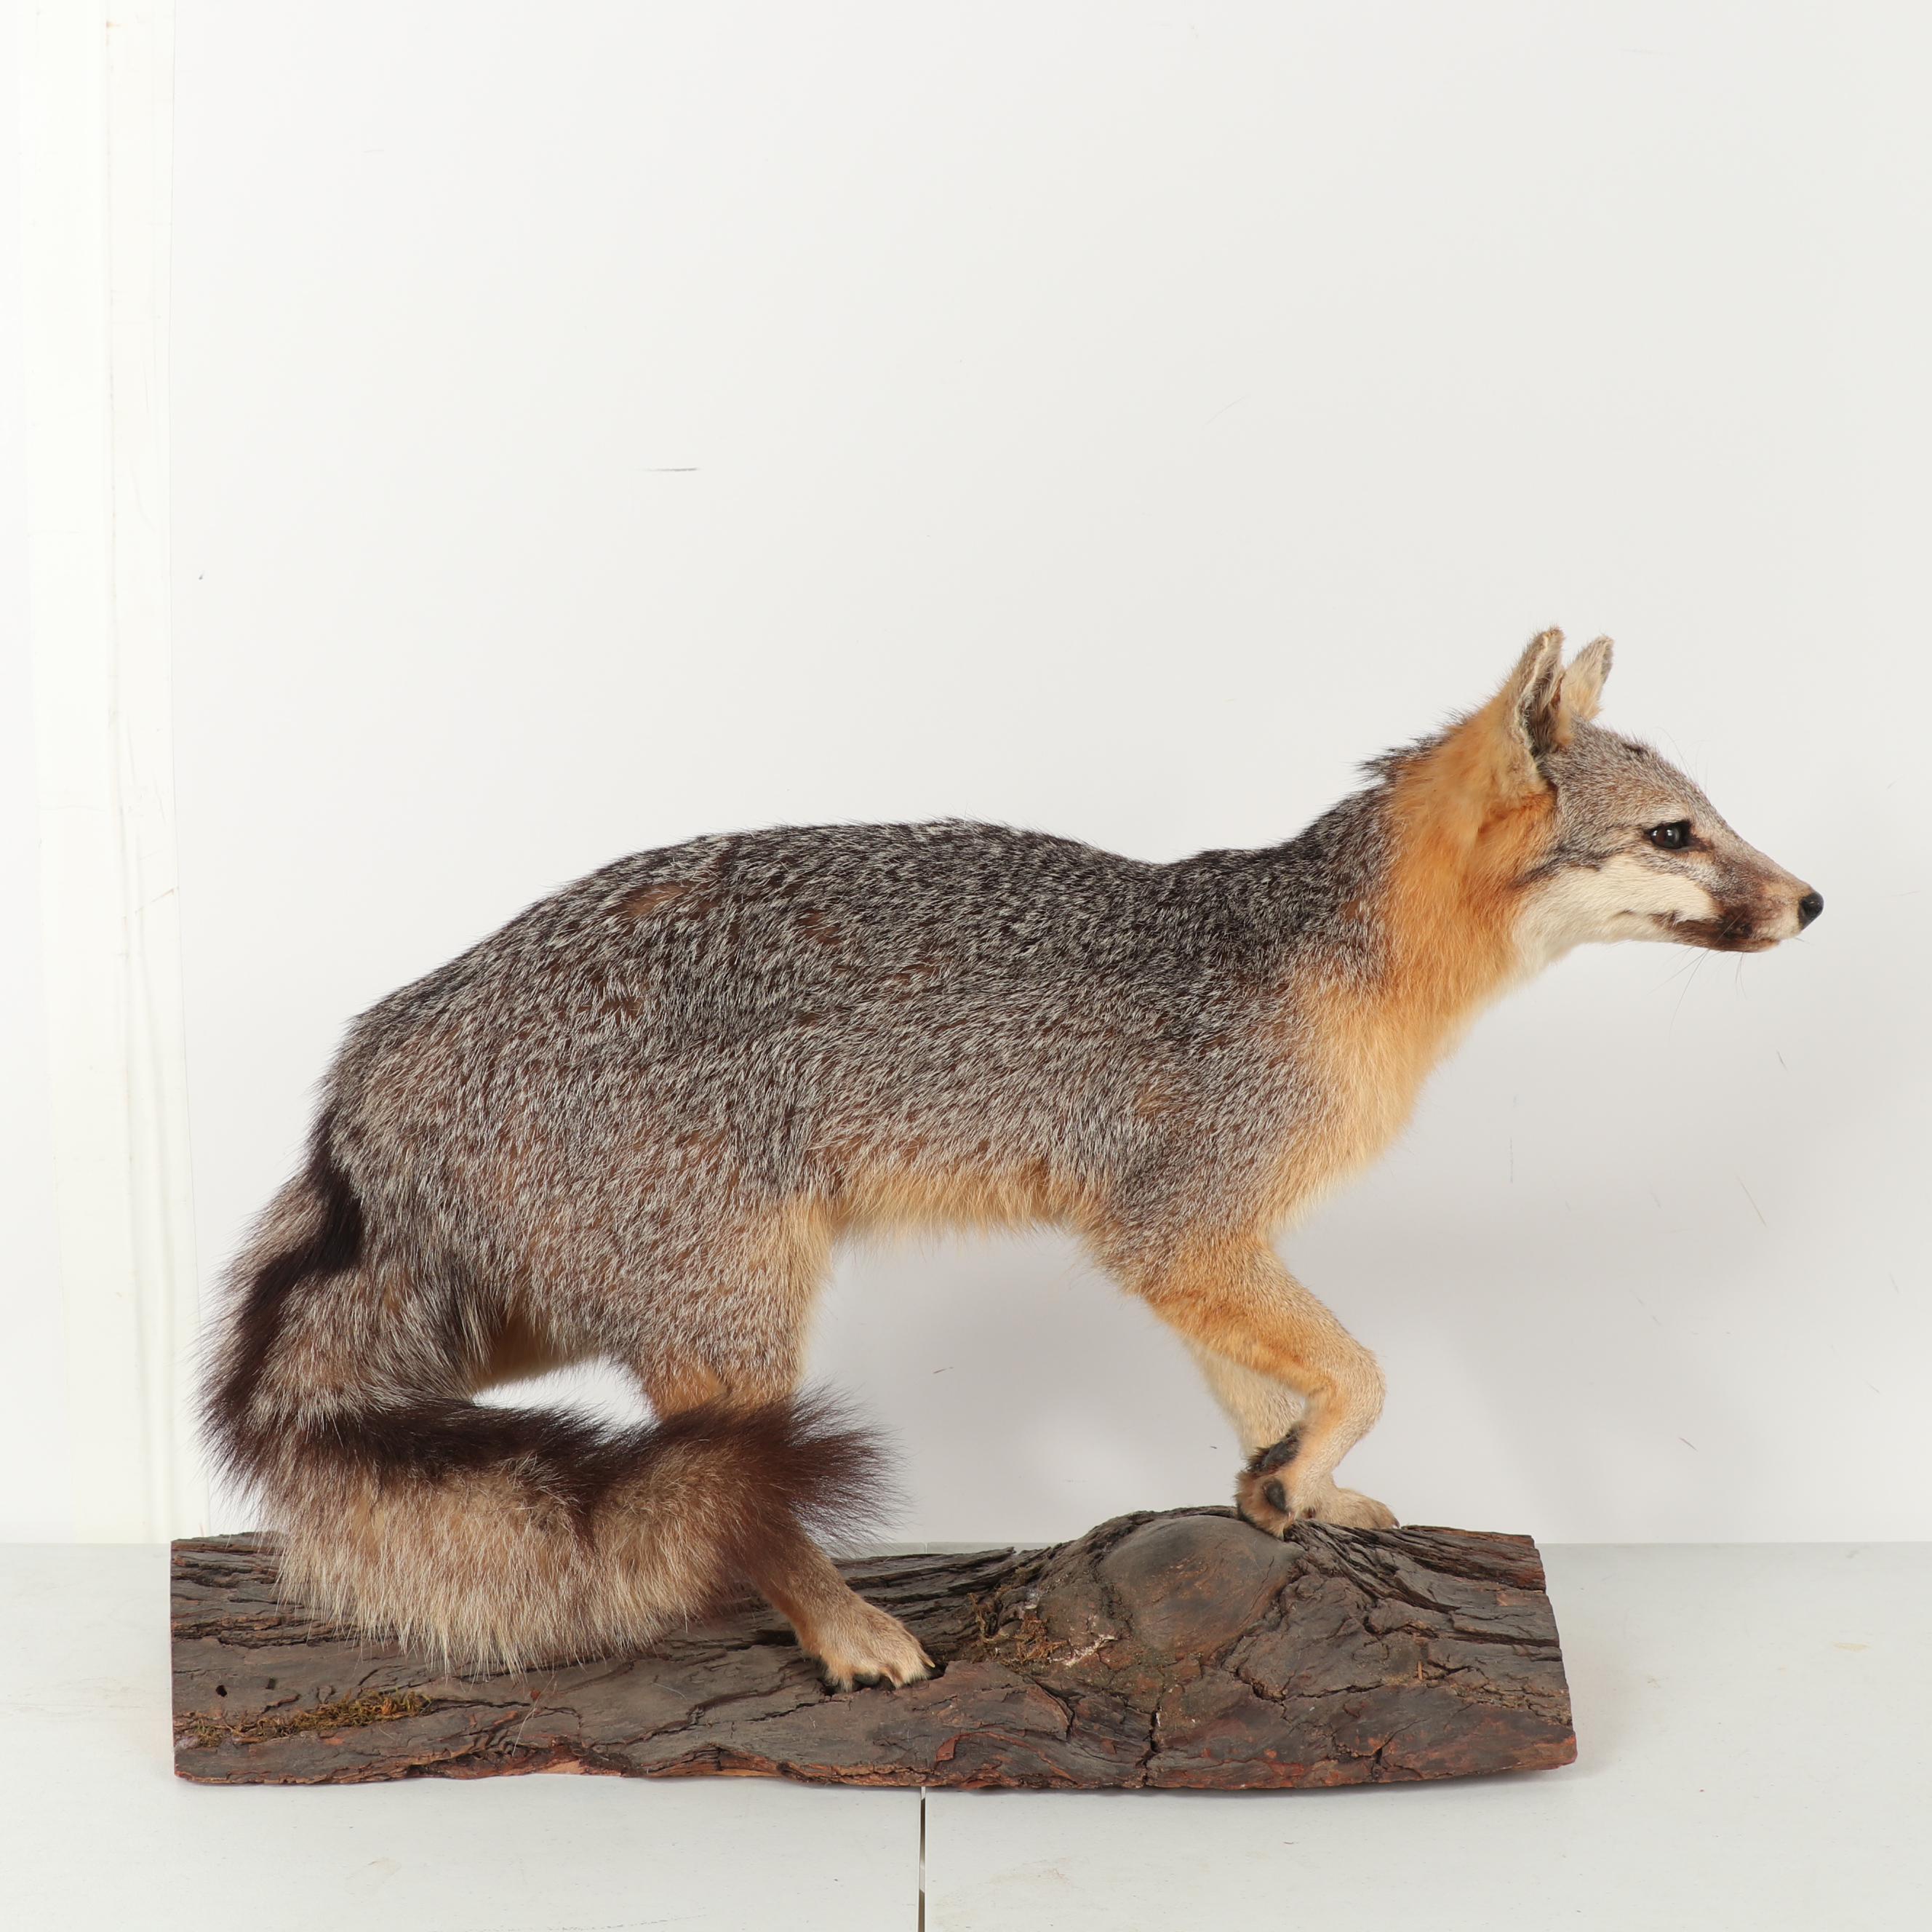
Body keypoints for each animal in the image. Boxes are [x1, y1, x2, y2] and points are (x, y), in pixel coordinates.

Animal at [203, 629, 1821, 1689]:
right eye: (1674, 835)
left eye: (1712, 820)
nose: (1810, 901)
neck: (1331, 962)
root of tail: (382, 1050)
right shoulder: (1177, 1228)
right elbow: (1361, 1369)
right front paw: (1306, 1467)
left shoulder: (1197, 1245)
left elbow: (1268, 1390)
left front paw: (1287, 1492)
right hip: (735, 1326)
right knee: (735, 1506)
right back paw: (847, 1631)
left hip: (539, 1326)